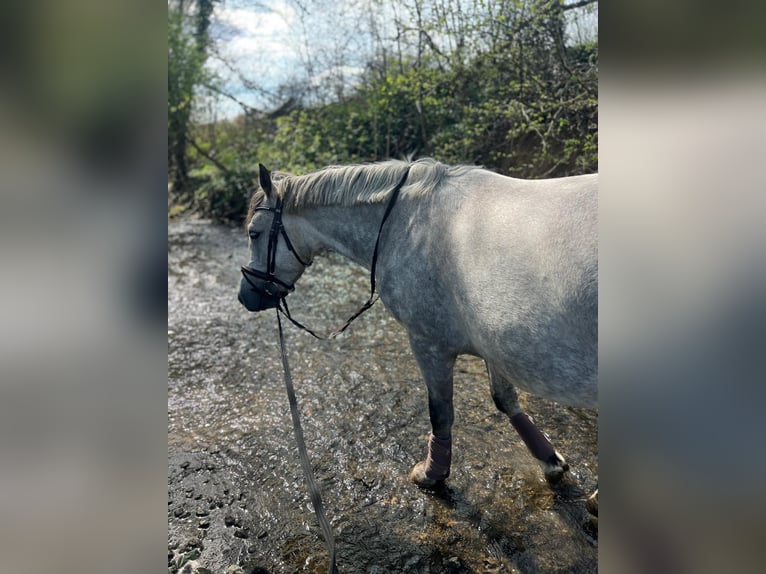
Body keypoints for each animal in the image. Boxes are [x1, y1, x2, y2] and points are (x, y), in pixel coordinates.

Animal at [238, 158, 597, 496]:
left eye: (254, 233)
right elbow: (504, 399)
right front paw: (549, 461)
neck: (404, 223)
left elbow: (441, 414)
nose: (246, 296)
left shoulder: (429, 344)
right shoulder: (496, 344)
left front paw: (432, 474)